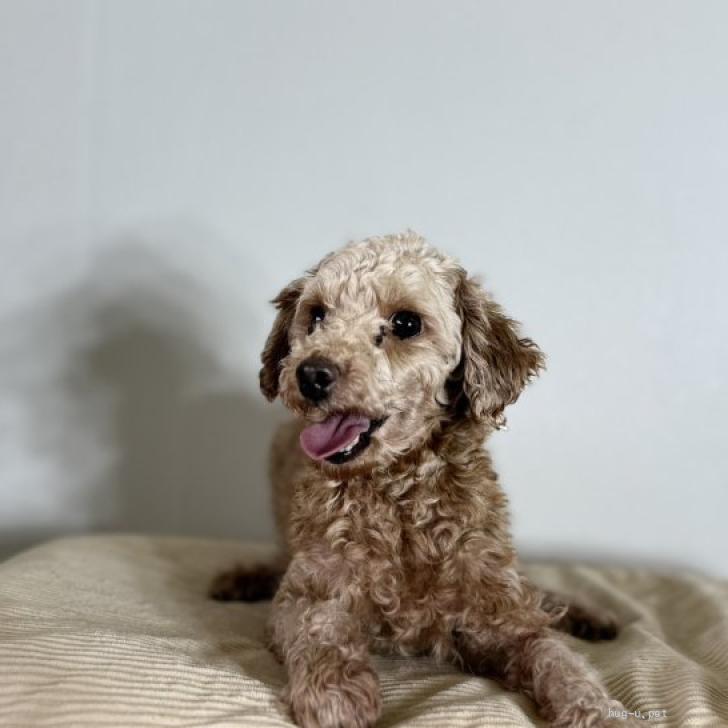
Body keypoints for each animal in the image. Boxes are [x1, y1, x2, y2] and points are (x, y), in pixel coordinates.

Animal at [212, 232, 625, 727]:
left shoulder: (500, 615)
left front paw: (594, 705)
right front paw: (335, 691)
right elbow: (320, 627)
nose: (310, 373)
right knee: (275, 564)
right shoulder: (309, 588)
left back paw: (591, 616)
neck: (400, 495)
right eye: (317, 315)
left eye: (406, 323)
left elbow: (554, 655)